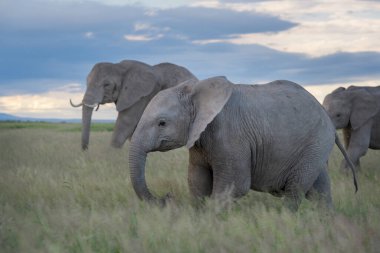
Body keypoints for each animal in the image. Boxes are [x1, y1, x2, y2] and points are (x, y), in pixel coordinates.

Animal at [69, 60, 197, 149]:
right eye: (86, 81)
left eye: (107, 85)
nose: (85, 150)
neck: (119, 67)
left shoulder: (141, 95)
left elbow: (126, 121)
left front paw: (110, 155)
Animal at [127, 76, 356, 211]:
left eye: (162, 123)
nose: (166, 197)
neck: (197, 90)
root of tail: (325, 114)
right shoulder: (200, 139)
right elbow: (197, 182)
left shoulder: (231, 136)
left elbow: (234, 185)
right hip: (316, 146)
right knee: (319, 191)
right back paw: (325, 220)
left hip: (315, 142)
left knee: (295, 190)